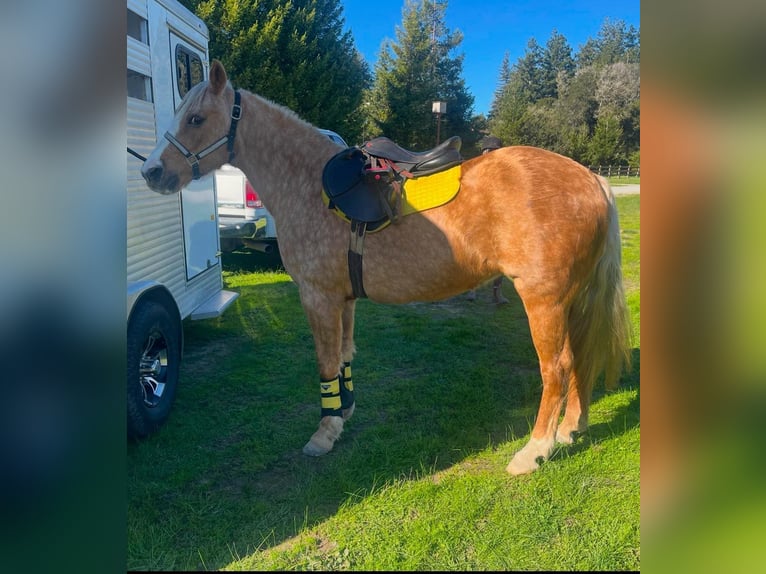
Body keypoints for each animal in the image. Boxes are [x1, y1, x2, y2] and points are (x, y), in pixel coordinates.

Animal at [141, 60, 632, 475]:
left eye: (196, 119)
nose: (151, 172)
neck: (308, 182)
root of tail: (592, 178)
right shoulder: (343, 300)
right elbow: (344, 357)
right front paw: (343, 414)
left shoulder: (317, 297)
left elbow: (324, 362)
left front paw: (323, 434)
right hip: (574, 298)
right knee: (581, 358)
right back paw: (571, 428)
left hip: (543, 301)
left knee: (557, 368)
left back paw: (535, 451)